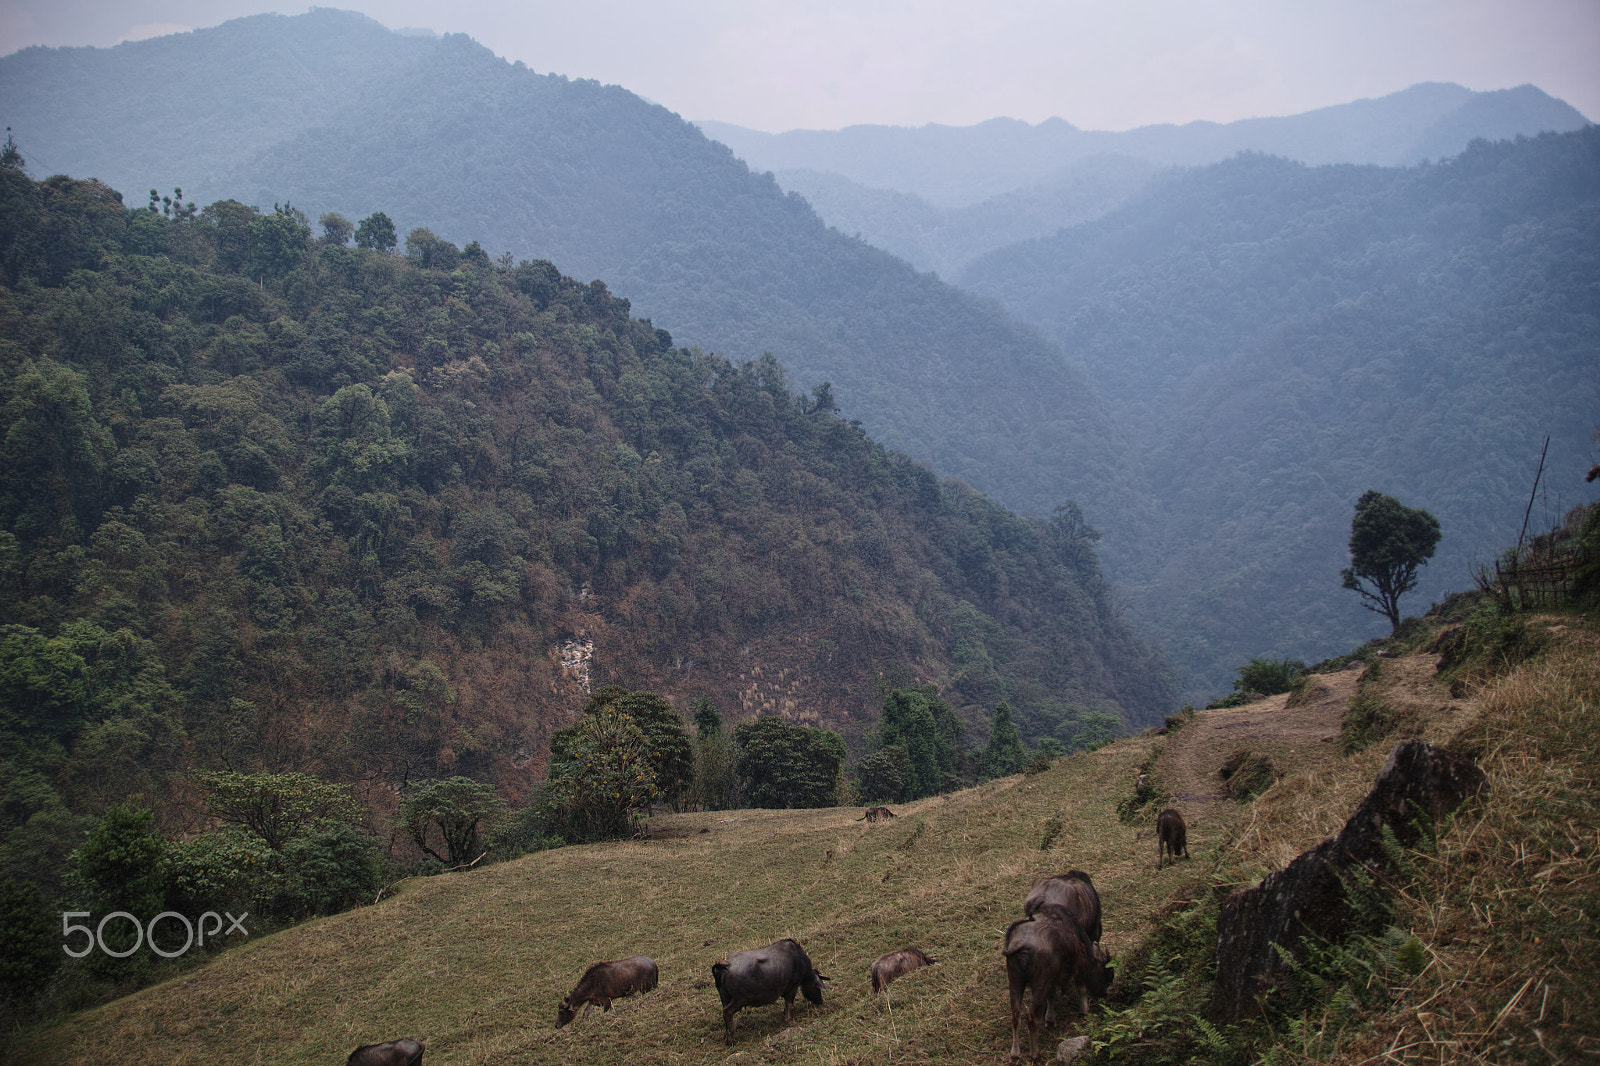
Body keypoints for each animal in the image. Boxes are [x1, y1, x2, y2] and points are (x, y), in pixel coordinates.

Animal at [998, 902, 1113, 1056]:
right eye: (1107, 972)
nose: (1104, 994)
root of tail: (1023, 946)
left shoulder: (1052, 978)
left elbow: (1051, 995)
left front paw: (1050, 1020)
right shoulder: (1078, 968)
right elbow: (1081, 988)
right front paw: (1085, 1011)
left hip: (1015, 980)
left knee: (1016, 1016)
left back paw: (1015, 1053)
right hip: (1039, 984)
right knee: (1032, 1018)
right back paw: (1035, 1053)